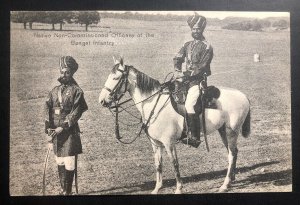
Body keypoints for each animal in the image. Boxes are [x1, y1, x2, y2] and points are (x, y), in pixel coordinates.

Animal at [99, 57, 251, 194]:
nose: (102, 100)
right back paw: (231, 180)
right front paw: (157, 188)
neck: (154, 103)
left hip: (231, 131)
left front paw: (178, 188)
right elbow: (158, 164)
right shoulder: (156, 143)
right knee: (232, 152)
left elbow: (174, 163)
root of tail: (244, 96)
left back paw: (225, 185)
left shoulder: (169, 143)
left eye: (115, 78)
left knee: (232, 154)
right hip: (223, 130)